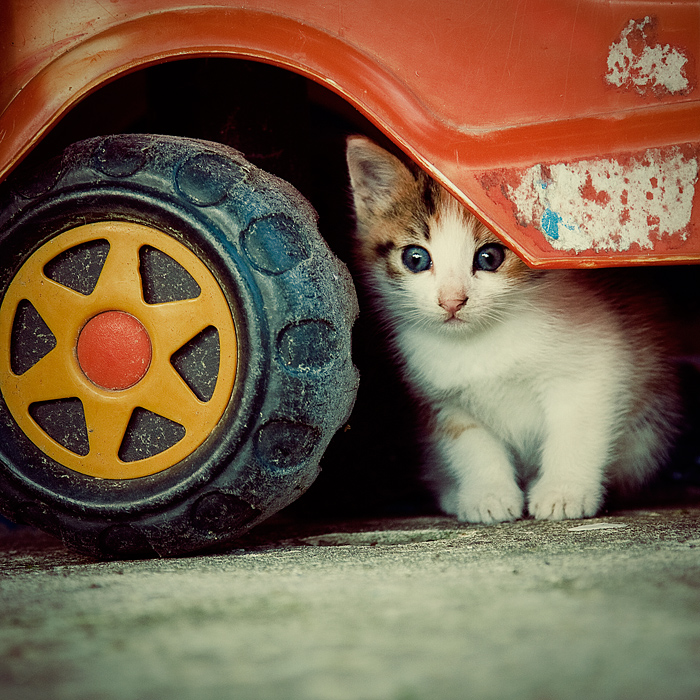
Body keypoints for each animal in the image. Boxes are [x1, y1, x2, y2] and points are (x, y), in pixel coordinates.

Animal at [348, 135, 680, 520]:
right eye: (415, 259)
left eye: (489, 257)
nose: (452, 301)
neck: (482, 342)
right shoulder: (445, 400)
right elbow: (471, 446)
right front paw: (488, 496)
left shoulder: (594, 367)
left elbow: (576, 430)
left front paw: (564, 491)